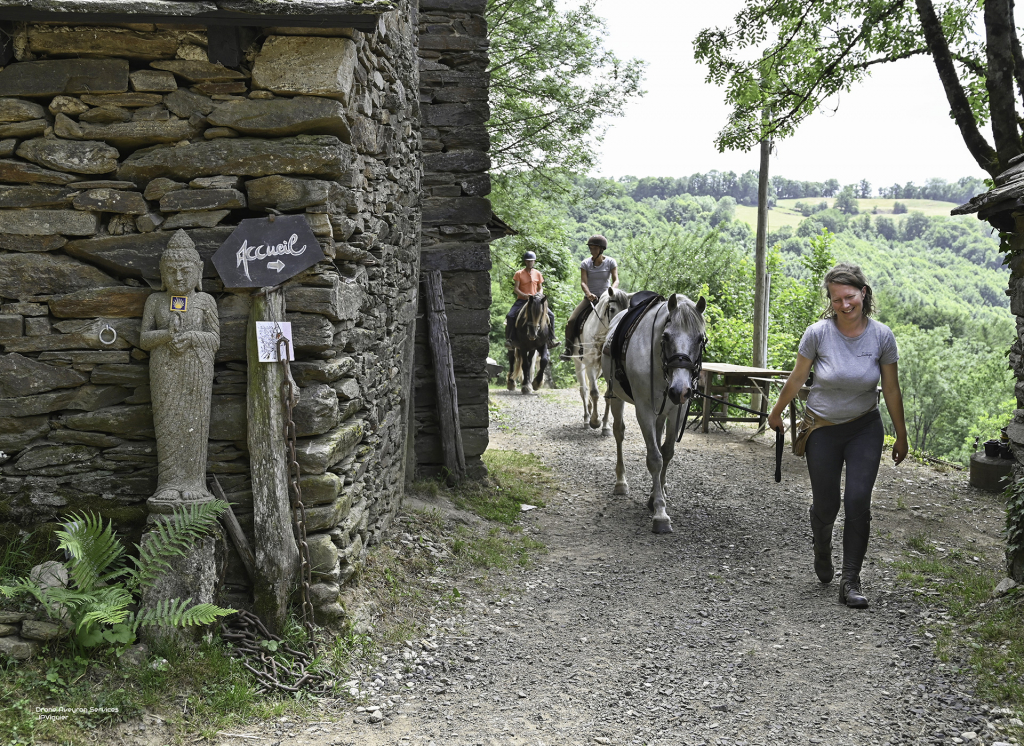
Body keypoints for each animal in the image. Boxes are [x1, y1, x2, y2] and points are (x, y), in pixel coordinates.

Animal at [569, 288, 630, 433]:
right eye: (612, 309)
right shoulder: (590, 365)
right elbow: (594, 393)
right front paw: (595, 422)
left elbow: (608, 395)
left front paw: (606, 426)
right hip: (579, 364)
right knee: (584, 390)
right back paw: (586, 419)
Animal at [598, 294, 704, 532]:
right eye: (666, 336)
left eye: (700, 339)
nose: (680, 390)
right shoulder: (644, 409)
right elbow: (655, 458)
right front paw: (660, 514)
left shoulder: (678, 410)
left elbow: (667, 452)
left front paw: (657, 495)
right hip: (617, 396)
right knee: (619, 433)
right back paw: (621, 482)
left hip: (663, 411)